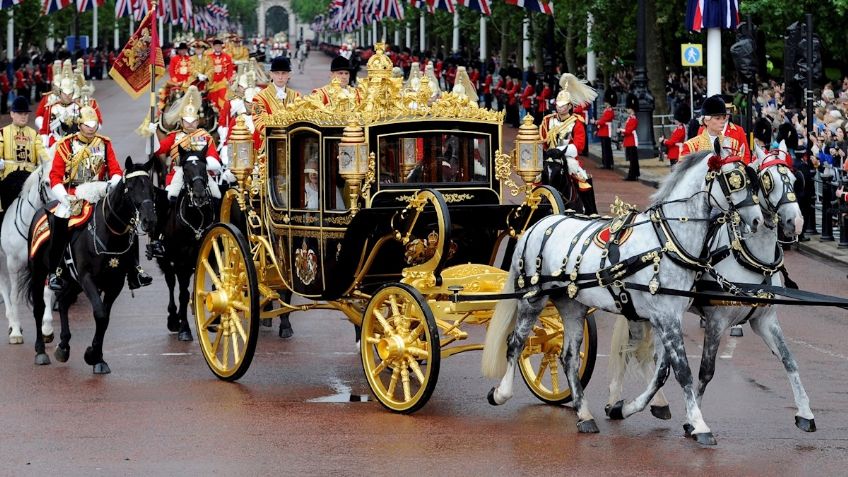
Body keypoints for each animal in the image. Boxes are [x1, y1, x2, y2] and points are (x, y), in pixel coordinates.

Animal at [0, 159, 54, 342]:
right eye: (47, 183)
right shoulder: (13, 264)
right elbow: (14, 296)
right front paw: (16, 332)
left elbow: (47, 293)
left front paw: (47, 329)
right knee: (4, 288)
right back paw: (12, 324)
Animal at [24, 158, 157, 374]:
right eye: (130, 188)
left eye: (152, 189)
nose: (149, 220)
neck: (109, 233)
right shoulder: (87, 278)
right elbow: (100, 314)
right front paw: (92, 355)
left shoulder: (114, 284)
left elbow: (105, 319)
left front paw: (98, 359)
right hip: (39, 272)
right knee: (39, 307)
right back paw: (41, 351)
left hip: (72, 281)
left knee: (63, 302)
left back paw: (63, 347)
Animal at [156, 147, 217, 340]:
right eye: (186, 169)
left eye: (204, 168)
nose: (199, 195)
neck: (196, 218)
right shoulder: (181, 262)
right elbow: (183, 293)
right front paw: (184, 328)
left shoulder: (208, 257)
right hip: (166, 259)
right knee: (171, 283)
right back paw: (173, 319)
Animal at [480, 151, 764, 444]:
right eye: (733, 179)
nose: (757, 220)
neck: (667, 241)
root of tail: (537, 224)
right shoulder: (664, 317)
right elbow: (681, 370)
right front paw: (699, 424)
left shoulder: (664, 317)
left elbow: (663, 370)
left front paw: (627, 408)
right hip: (532, 299)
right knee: (516, 343)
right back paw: (501, 393)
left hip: (572, 306)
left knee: (569, 357)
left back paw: (584, 415)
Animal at [604, 150, 816, 432]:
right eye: (767, 180)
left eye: (794, 179)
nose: (797, 222)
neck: (750, 257)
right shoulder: (716, 321)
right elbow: (706, 370)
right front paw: (693, 420)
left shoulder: (765, 320)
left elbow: (789, 360)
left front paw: (805, 413)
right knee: (630, 352)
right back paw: (619, 401)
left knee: (646, 355)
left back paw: (648, 404)